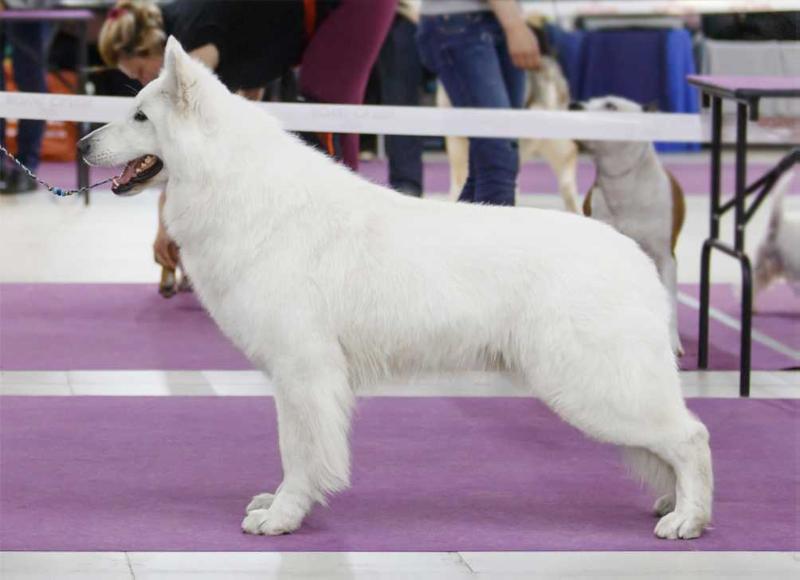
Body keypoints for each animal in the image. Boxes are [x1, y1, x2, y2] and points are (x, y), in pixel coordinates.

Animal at [572, 97, 684, 356]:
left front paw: (671, 341)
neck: (621, 184)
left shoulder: (665, 257)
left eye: (610, 105)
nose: (573, 105)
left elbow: (670, 301)